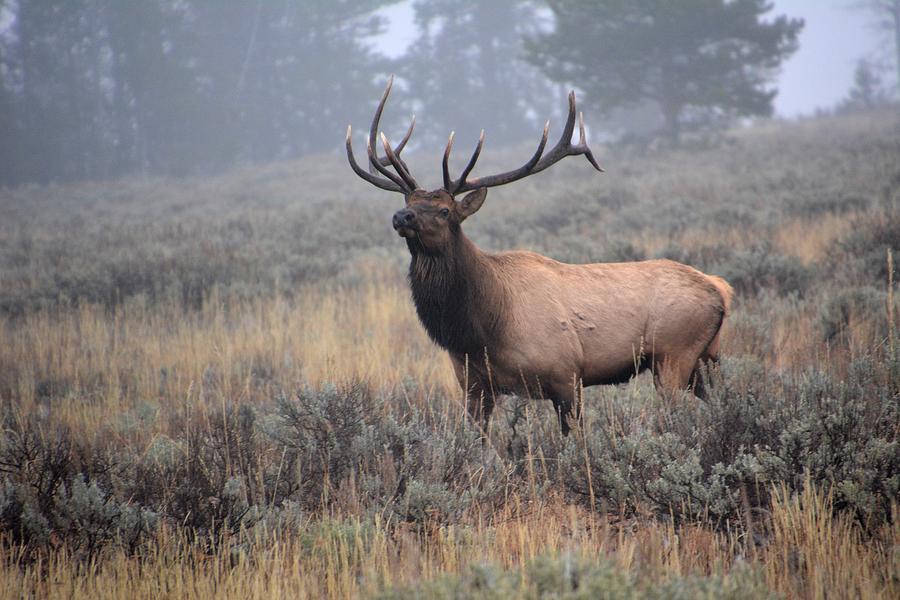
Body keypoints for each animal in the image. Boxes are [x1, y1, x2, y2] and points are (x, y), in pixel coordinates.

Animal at [344, 77, 732, 434]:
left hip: (674, 353)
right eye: (408, 201)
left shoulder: (566, 374)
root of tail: (720, 289)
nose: (401, 217)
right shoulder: (473, 385)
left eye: (444, 211)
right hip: (705, 358)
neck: (481, 331)